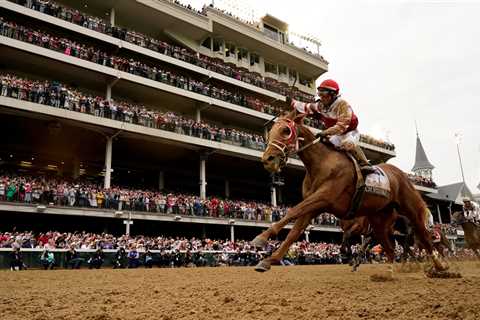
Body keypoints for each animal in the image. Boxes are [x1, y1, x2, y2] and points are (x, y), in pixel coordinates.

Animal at [253, 111, 448, 274]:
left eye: (285, 130)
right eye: (270, 131)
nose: (267, 159)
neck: (321, 163)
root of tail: (402, 175)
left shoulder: (324, 197)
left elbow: (293, 211)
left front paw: (261, 238)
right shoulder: (315, 206)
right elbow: (294, 232)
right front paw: (269, 260)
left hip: (410, 210)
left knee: (423, 238)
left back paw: (439, 266)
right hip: (380, 219)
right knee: (392, 247)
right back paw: (389, 273)